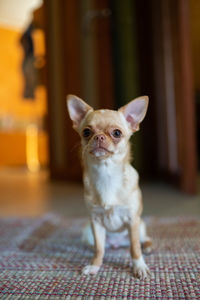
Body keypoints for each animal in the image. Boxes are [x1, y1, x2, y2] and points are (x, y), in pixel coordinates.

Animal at [67, 95, 152, 278]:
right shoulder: (96, 222)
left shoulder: (133, 220)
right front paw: (95, 266)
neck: (106, 174)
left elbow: (135, 248)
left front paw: (139, 267)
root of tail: (117, 243)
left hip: (140, 226)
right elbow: (99, 249)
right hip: (88, 232)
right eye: (86, 132)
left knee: (144, 240)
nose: (99, 137)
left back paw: (148, 247)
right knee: (99, 246)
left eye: (117, 133)